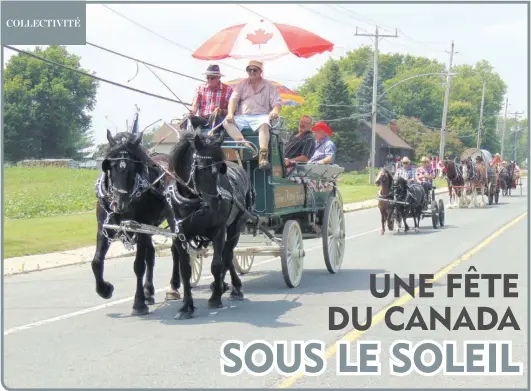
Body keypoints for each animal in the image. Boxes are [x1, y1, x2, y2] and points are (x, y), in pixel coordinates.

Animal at [92, 130, 178, 316]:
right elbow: (96, 261)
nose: (119, 203)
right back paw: (149, 291)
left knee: (176, 250)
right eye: (110, 166)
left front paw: (138, 303)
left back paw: (173, 288)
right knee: (151, 255)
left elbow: (138, 266)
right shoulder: (103, 228)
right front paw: (104, 289)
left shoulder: (141, 230)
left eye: (133, 169)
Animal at [168, 130, 256, 320]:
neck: (193, 202)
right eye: (201, 167)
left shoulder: (219, 231)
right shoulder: (179, 235)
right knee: (227, 256)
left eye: (220, 169)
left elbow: (216, 265)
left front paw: (215, 297)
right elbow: (185, 270)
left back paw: (231, 288)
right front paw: (186, 306)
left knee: (227, 255)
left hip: (236, 227)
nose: (216, 202)